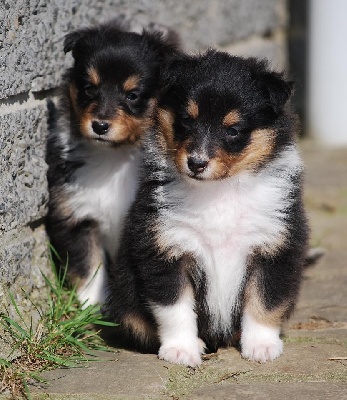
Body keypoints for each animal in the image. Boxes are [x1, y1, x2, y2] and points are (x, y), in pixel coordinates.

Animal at [46, 21, 178, 308]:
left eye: (132, 95)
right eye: (89, 88)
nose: (100, 125)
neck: (115, 156)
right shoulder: (76, 213)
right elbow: (88, 263)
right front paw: (92, 304)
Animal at [108, 50, 310, 366]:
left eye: (233, 130)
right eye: (186, 120)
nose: (196, 163)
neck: (218, 192)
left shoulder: (274, 245)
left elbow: (264, 301)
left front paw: (261, 346)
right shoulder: (165, 246)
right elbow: (174, 306)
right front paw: (181, 350)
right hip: (124, 302)